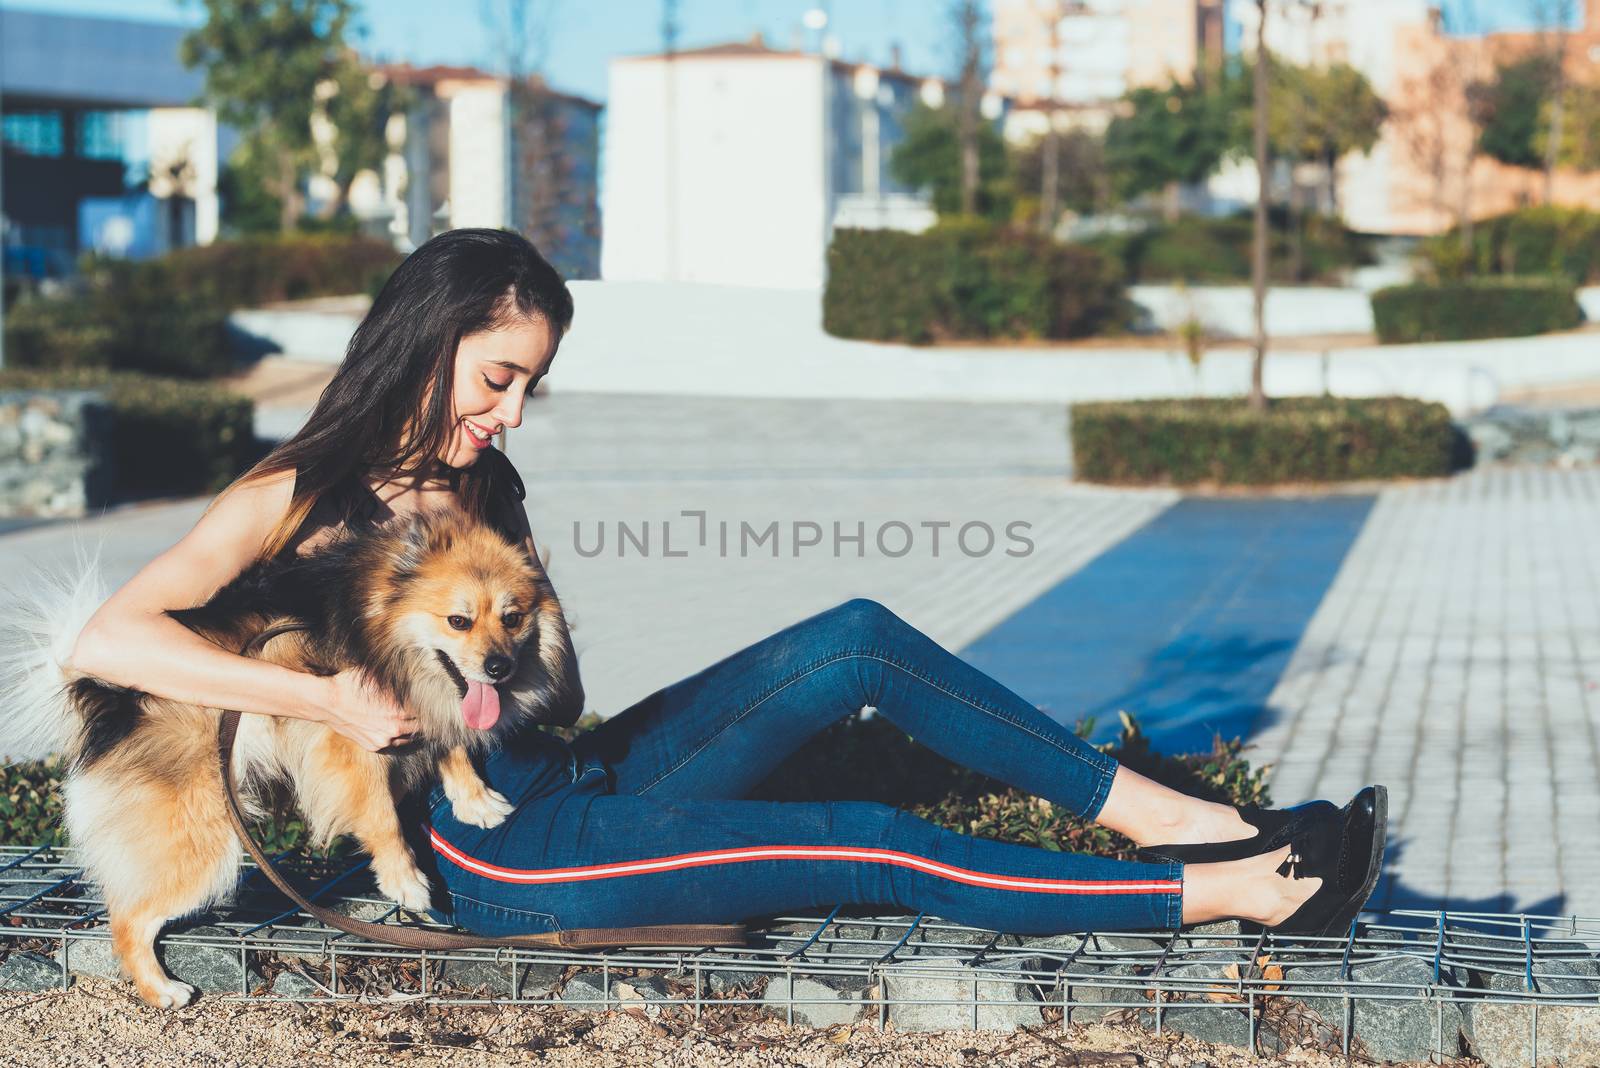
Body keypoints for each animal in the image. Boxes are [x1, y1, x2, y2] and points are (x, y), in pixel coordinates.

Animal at [0, 508, 585, 1010]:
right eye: (458, 621)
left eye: (512, 618)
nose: (499, 668)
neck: (378, 619)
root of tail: (107, 701)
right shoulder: (350, 736)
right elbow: (381, 813)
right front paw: (405, 880)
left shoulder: (428, 702)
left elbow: (453, 740)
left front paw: (476, 801)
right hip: (203, 844)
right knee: (126, 921)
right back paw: (159, 989)